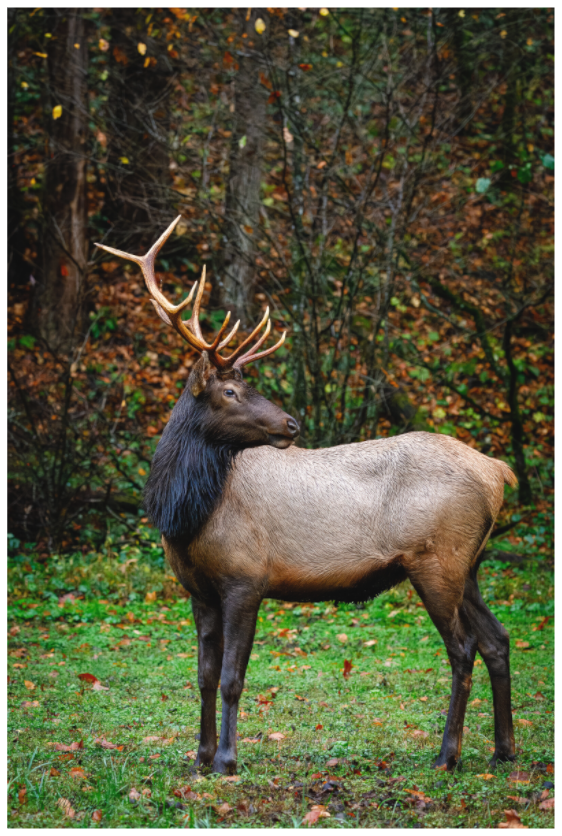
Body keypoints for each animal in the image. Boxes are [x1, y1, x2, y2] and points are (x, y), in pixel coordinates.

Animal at [95, 217, 517, 776]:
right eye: (230, 391)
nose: (291, 423)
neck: (186, 517)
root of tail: (498, 472)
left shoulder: (246, 578)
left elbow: (232, 678)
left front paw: (226, 759)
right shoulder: (198, 591)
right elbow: (203, 676)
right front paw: (199, 758)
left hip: (437, 560)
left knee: (464, 647)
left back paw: (448, 755)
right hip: (469, 564)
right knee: (497, 639)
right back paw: (503, 748)